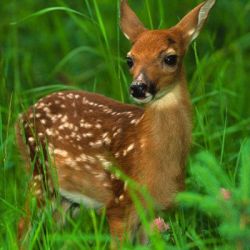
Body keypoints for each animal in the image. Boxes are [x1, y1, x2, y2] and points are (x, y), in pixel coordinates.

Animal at [16, 0, 215, 247]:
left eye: (170, 58)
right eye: (130, 59)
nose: (138, 87)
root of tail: (22, 116)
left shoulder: (155, 210)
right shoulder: (120, 203)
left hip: (65, 197)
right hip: (40, 175)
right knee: (23, 225)